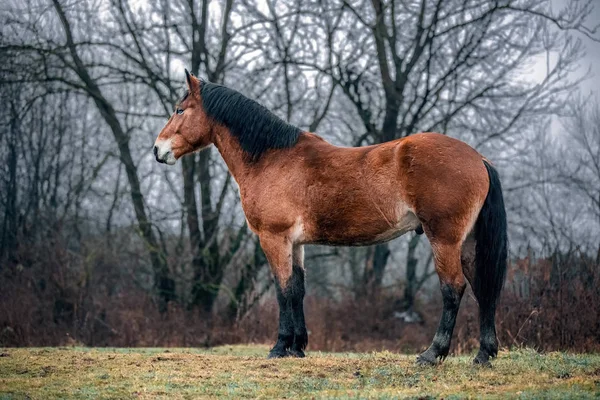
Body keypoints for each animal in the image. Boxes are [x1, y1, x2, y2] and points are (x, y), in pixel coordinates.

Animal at [154, 71, 506, 366]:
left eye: (180, 110)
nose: (158, 150)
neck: (271, 158)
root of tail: (478, 158)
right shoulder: (295, 243)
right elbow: (297, 289)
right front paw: (297, 347)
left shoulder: (274, 238)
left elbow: (282, 289)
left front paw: (279, 347)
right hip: (468, 243)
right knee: (483, 288)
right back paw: (483, 355)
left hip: (443, 239)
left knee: (453, 289)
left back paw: (432, 354)